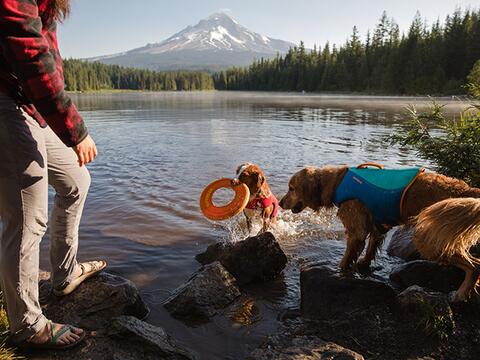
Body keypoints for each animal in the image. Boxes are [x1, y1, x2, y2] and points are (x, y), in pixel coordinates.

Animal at [280, 165, 480, 302]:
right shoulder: (377, 227)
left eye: (291, 188)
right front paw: (363, 265)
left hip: (429, 236)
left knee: (475, 265)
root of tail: (468, 190)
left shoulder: (356, 231)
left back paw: (461, 294)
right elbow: (370, 250)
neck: (337, 184)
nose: (281, 203)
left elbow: (348, 256)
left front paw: (340, 270)